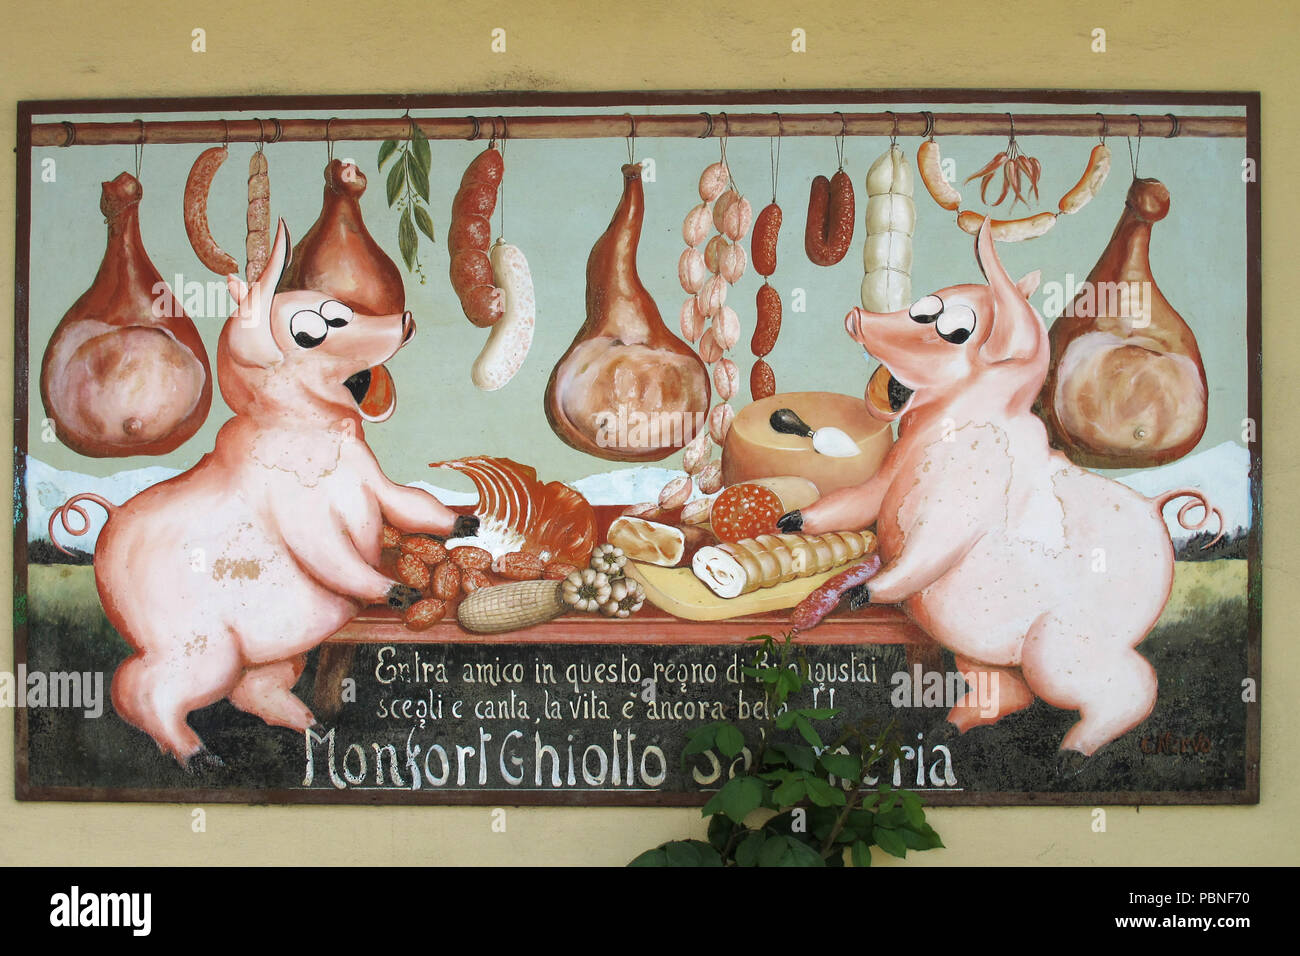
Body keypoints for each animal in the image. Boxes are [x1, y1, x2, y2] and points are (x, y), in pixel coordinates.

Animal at [55, 221, 475, 764]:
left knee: (253, 689)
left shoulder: (374, 481)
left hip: (278, 647)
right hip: (196, 647)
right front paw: (397, 592)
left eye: (341, 308)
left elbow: (410, 505)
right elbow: (332, 554)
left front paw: (464, 523)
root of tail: (110, 520)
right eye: (311, 331)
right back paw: (196, 756)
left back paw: (311, 727)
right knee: (138, 687)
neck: (314, 430)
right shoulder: (299, 515)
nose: (404, 319)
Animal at [780, 222, 1216, 770]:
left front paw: (862, 595)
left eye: (954, 330)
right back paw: (954, 726)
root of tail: (1158, 513)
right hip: (975, 644)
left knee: (1129, 685)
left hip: (1062, 645)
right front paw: (789, 523)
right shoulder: (885, 479)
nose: (856, 316)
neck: (943, 427)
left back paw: (1072, 754)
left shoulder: (960, 504)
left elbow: (926, 550)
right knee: (1009, 691)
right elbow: (851, 504)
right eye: (922, 307)